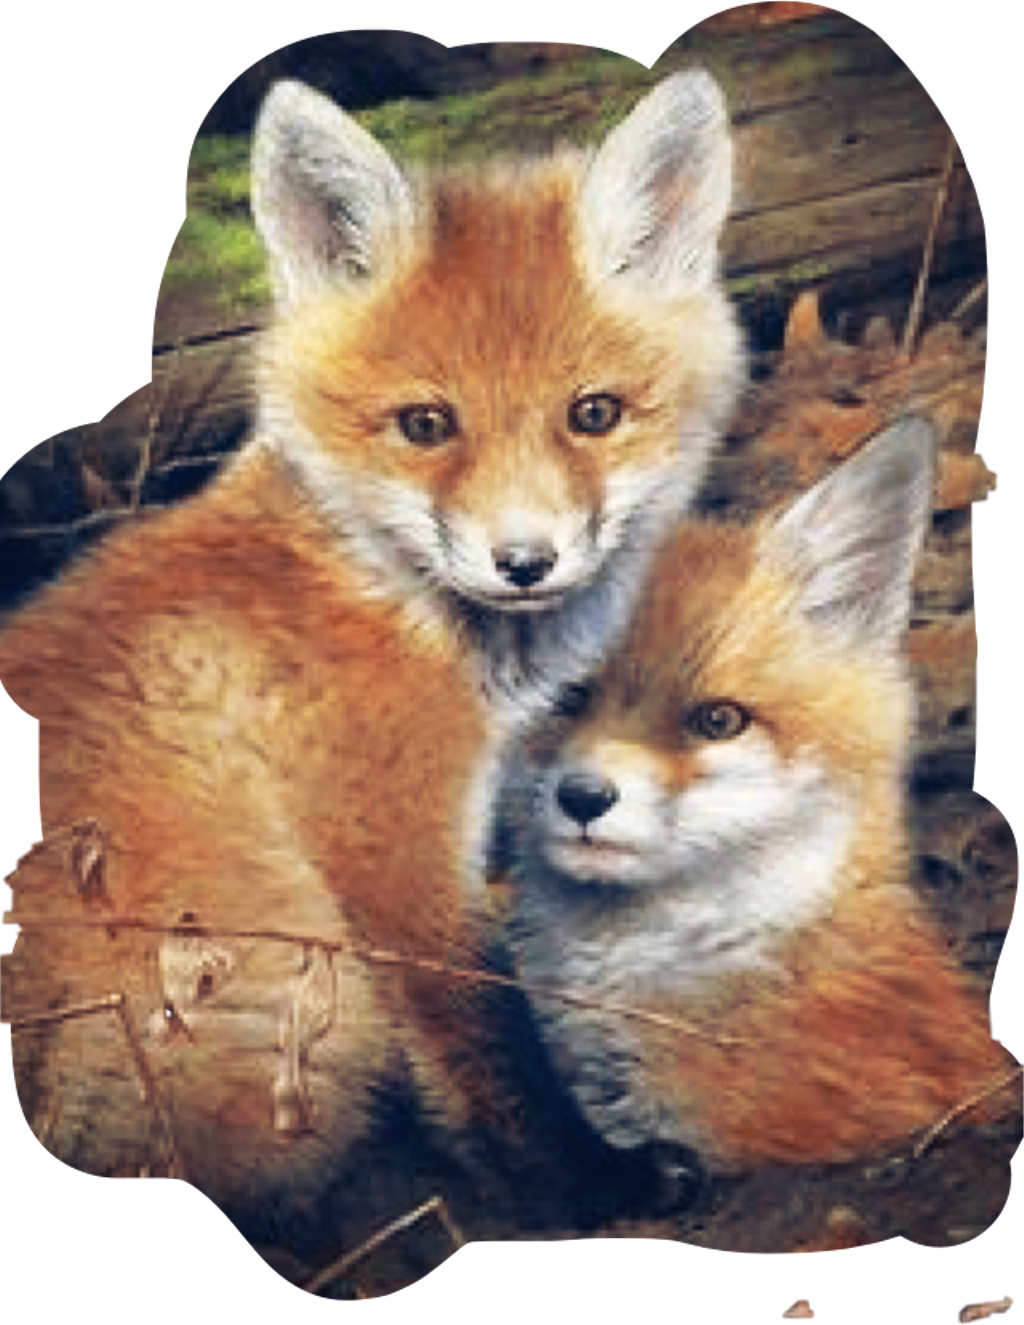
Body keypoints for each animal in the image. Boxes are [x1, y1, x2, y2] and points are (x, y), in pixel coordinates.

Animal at [0, 71, 740, 1260]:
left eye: (593, 414)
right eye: (425, 424)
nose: (524, 561)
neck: (370, 582)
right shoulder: (389, 854)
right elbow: (492, 1033)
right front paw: (590, 1182)